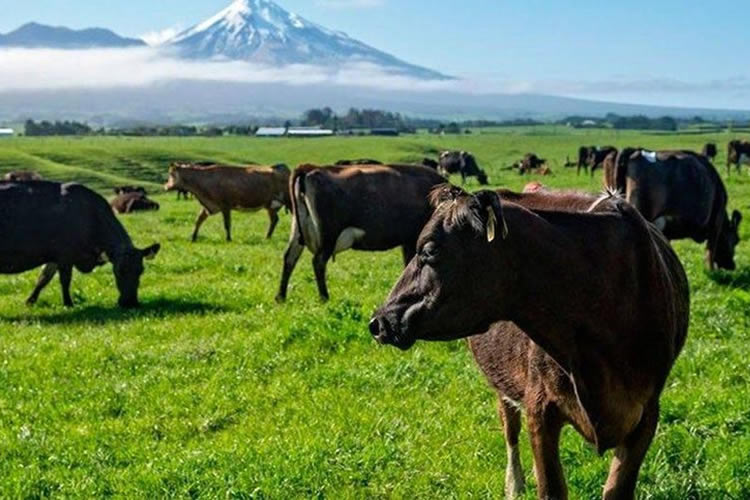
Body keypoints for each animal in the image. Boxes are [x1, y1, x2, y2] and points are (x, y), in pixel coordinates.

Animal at [0, 182, 160, 308]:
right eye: (119, 271)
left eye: (141, 270)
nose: (130, 303)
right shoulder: (65, 255)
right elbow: (65, 280)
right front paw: (68, 303)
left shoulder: (54, 256)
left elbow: (43, 279)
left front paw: (30, 301)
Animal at [280, 166, 450, 302]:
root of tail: (310, 169)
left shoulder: (408, 240)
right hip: (329, 236)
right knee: (318, 262)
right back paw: (324, 297)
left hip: (298, 231)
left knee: (290, 257)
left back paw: (281, 297)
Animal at [368, 187, 692, 500]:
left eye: (429, 250)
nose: (379, 321)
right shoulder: (540, 408)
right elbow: (550, 489)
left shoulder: (646, 414)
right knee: (509, 426)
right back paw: (515, 484)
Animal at [612, 148, 744, 270]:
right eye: (736, 240)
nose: (732, 266)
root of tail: (637, 151)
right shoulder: (716, 223)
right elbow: (710, 251)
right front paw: (711, 271)